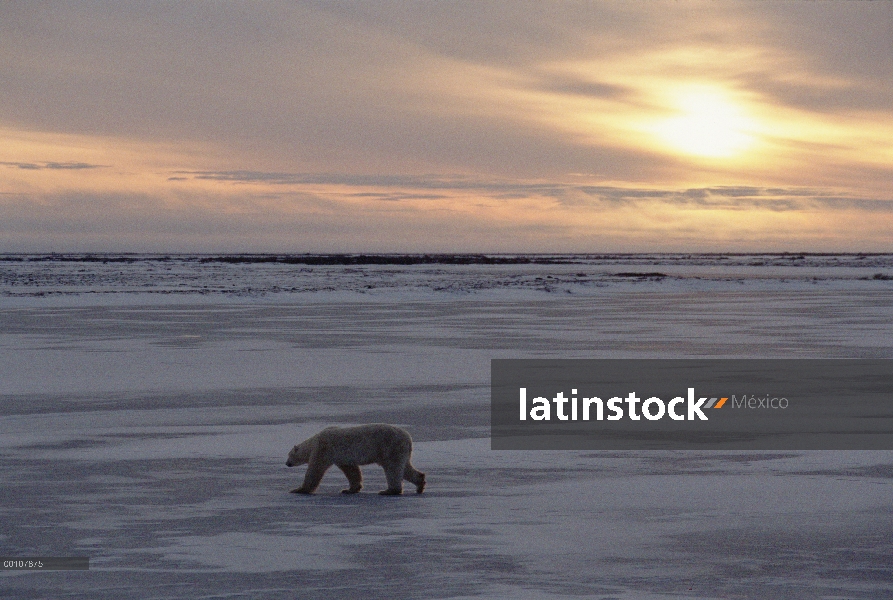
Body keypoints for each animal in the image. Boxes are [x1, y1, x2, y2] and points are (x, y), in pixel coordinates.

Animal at [286, 424, 426, 494]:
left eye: (289, 455)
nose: (287, 463)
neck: (314, 441)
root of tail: (408, 438)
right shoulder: (342, 457)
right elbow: (351, 470)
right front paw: (350, 489)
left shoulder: (324, 449)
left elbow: (315, 469)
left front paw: (299, 489)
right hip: (400, 451)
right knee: (405, 468)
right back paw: (420, 483)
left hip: (390, 447)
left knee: (393, 468)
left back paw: (389, 490)